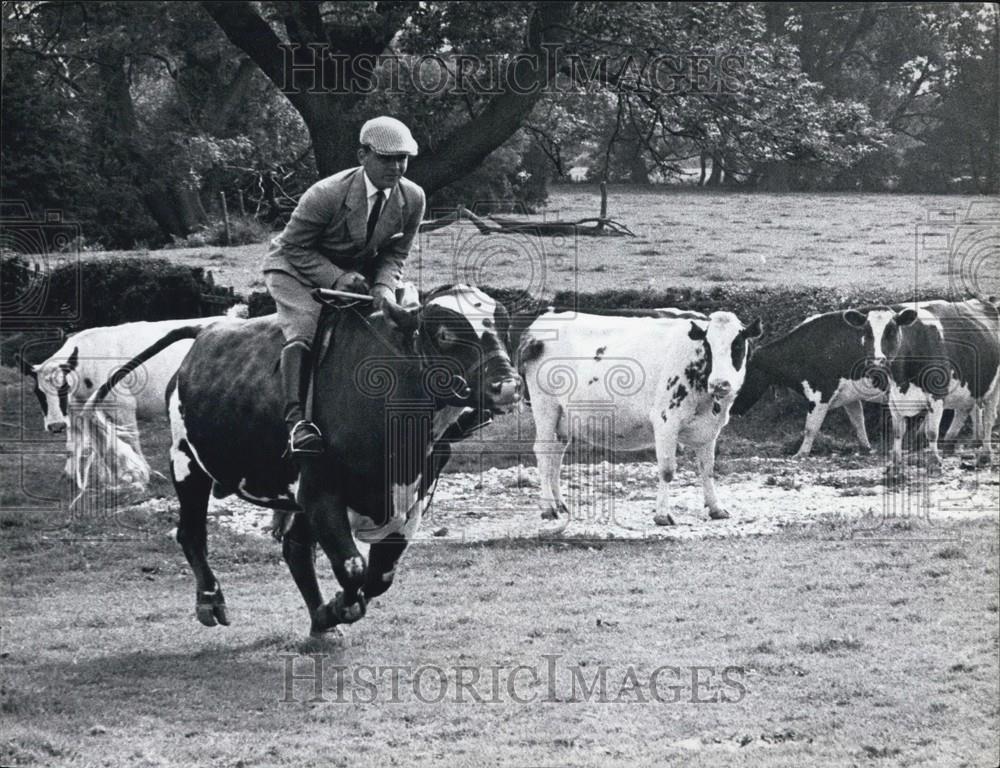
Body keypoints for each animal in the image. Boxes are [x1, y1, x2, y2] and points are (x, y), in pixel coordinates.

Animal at [84, 284, 524, 632]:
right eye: (446, 333)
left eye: (502, 326)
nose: (507, 386)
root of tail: (206, 330)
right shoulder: (319, 492)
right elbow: (353, 566)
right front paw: (341, 604)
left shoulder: (410, 497)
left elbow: (380, 574)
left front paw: (335, 608)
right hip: (187, 463)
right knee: (192, 533)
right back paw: (211, 601)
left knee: (295, 548)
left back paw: (320, 620)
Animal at [520, 308, 760, 524]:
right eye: (708, 347)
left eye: (738, 345)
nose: (719, 383)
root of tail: (541, 323)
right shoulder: (666, 421)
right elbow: (667, 470)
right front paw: (662, 515)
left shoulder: (709, 429)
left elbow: (708, 469)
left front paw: (716, 508)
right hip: (545, 407)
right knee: (543, 452)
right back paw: (549, 508)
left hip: (563, 419)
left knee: (555, 455)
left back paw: (560, 503)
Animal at [844, 298, 1000, 474]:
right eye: (867, 332)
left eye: (891, 331)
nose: (876, 361)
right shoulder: (893, 398)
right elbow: (897, 432)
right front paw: (894, 464)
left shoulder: (936, 395)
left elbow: (931, 432)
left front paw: (934, 463)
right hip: (968, 388)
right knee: (964, 410)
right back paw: (952, 443)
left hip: (994, 386)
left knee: (989, 418)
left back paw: (985, 455)